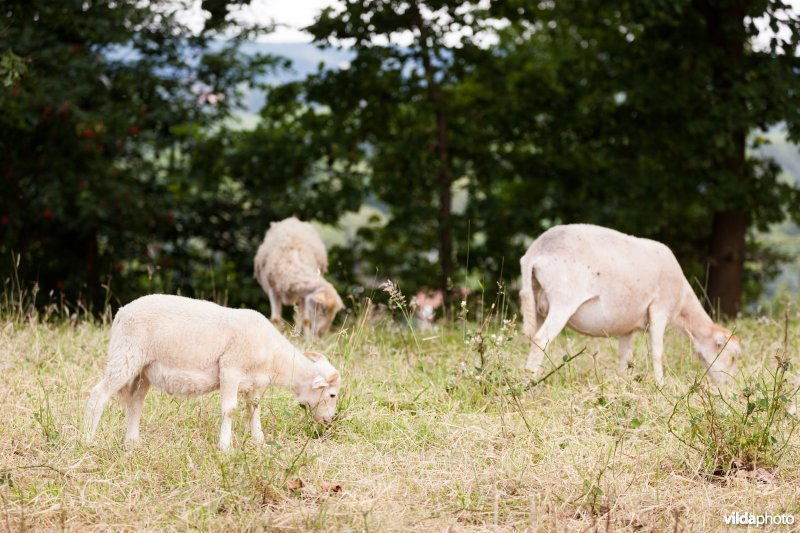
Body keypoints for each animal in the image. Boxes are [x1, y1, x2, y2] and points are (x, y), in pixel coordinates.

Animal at [83, 294, 340, 450]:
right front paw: (225, 447)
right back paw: (88, 439)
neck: (275, 358)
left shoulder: (253, 382)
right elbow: (230, 410)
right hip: (125, 355)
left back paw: (132, 443)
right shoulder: (230, 369)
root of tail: (121, 312)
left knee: (135, 402)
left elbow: (254, 410)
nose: (329, 421)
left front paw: (259, 440)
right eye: (332, 394)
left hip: (143, 370)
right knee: (98, 395)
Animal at [520, 222, 740, 384]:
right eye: (733, 356)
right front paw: (660, 385)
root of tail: (535, 251)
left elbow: (624, 358)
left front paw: (624, 385)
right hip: (564, 298)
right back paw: (530, 385)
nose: (730, 387)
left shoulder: (626, 328)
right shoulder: (659, 310)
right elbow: (657, 352)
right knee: (540, 340)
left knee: (532, 338)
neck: (682, 307)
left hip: (535, 301)